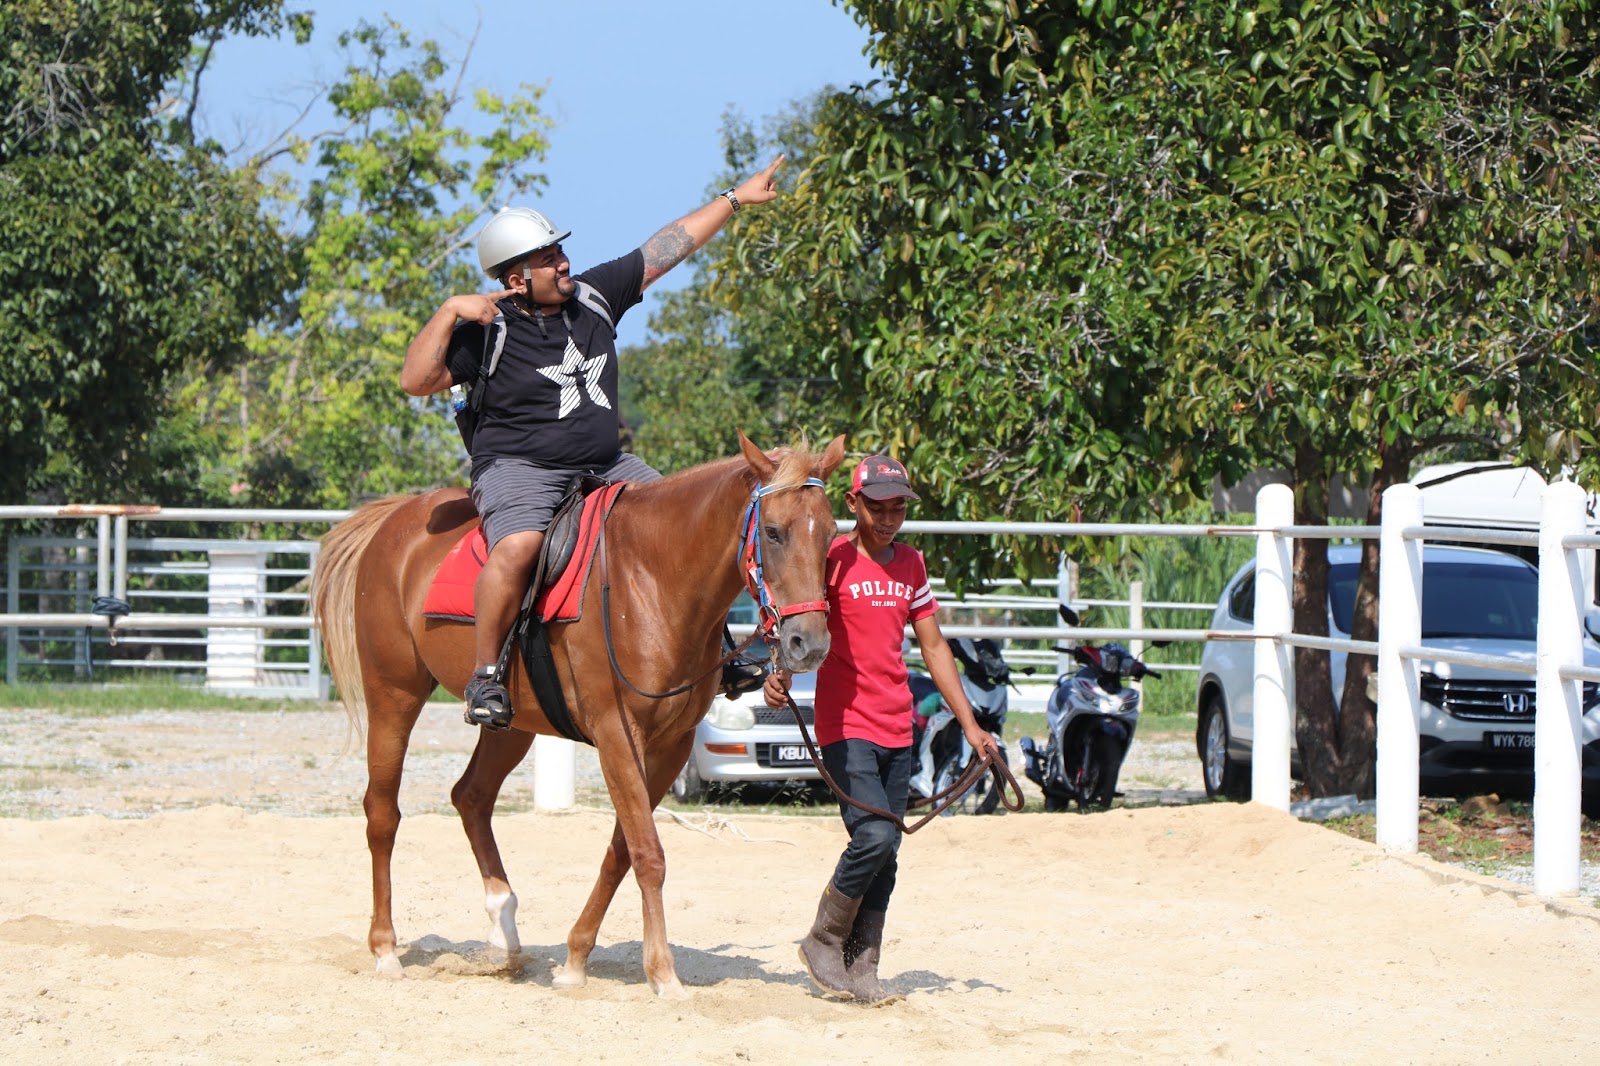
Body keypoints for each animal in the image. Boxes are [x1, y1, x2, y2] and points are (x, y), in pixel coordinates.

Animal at [310, 432, 845, 999]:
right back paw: (385, 948)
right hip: (394, 695)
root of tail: (395, 518)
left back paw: (503, 930)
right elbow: (648, 853)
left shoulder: (670, 745)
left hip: (512, 724)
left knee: (471, 797)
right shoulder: (617, 735)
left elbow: (622, 849)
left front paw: (575, 958)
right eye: (773, 532)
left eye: (831, 534)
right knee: (382, 813)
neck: (651, 578)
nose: (808, 643)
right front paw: (663, 973)